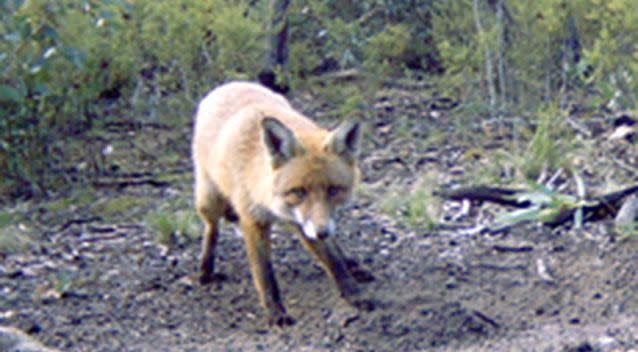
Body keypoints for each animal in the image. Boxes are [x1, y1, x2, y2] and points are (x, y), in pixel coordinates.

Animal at [195, 81, 376, 326]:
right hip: (209, 199)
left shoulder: (305, 223)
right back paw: (206, 270)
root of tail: (229, 84)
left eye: (334, 190)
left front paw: (353, 292)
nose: (321, 232)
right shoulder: (252, 220)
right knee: (212, 229)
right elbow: (263, 273)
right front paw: (275, 311)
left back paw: (351, 263)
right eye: (298, 191)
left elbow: (333, 260)